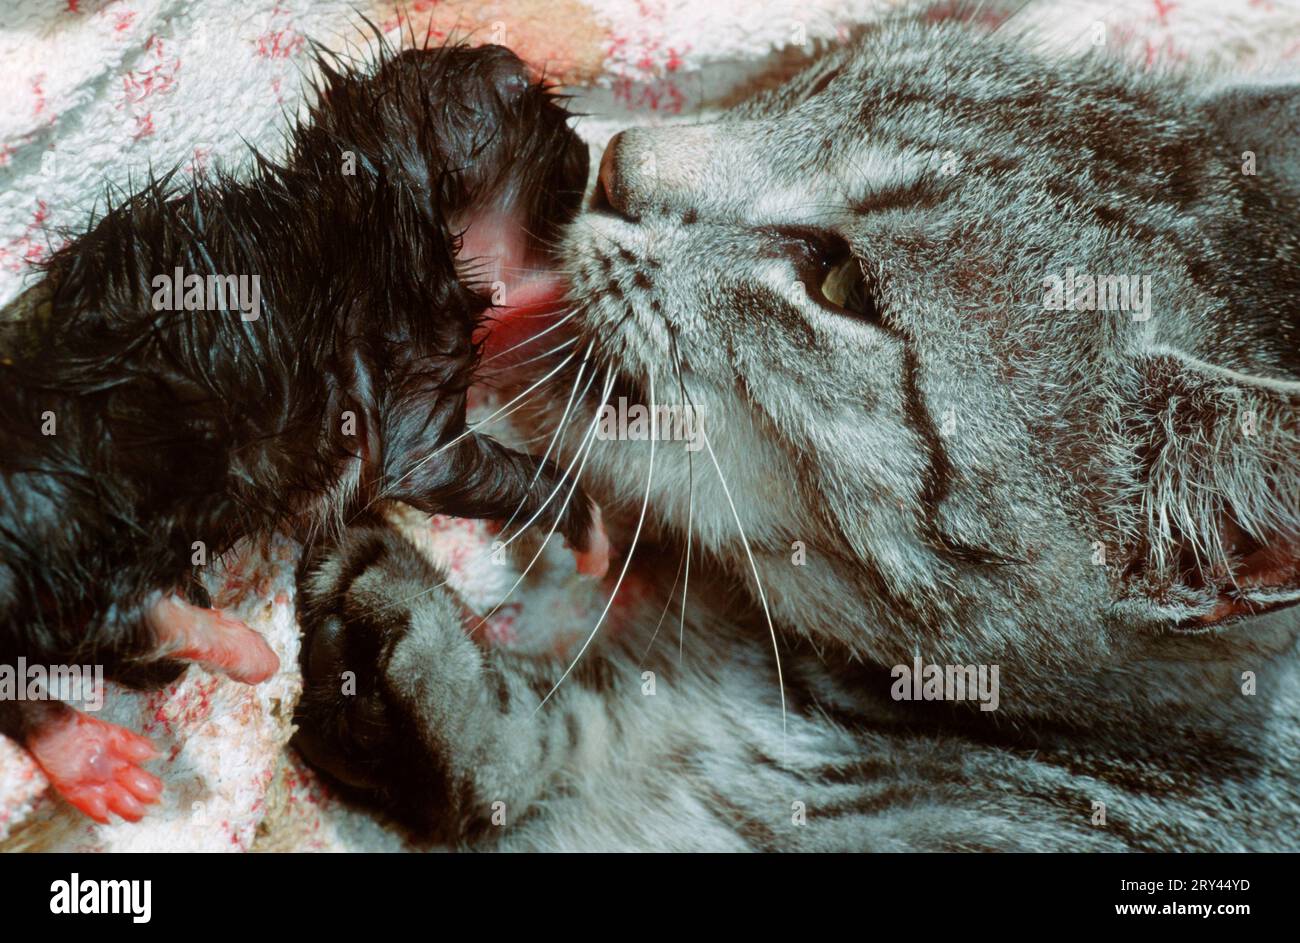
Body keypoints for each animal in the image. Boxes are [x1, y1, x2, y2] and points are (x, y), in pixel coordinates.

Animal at [0, 42, 598, 822]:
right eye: (554, 123)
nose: (595, 151)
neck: (383, 192)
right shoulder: (412, 368)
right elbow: (434, 466)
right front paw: (591, 531)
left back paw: (95, 750)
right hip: (88, 468)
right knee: (93, 603)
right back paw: (215, 647)